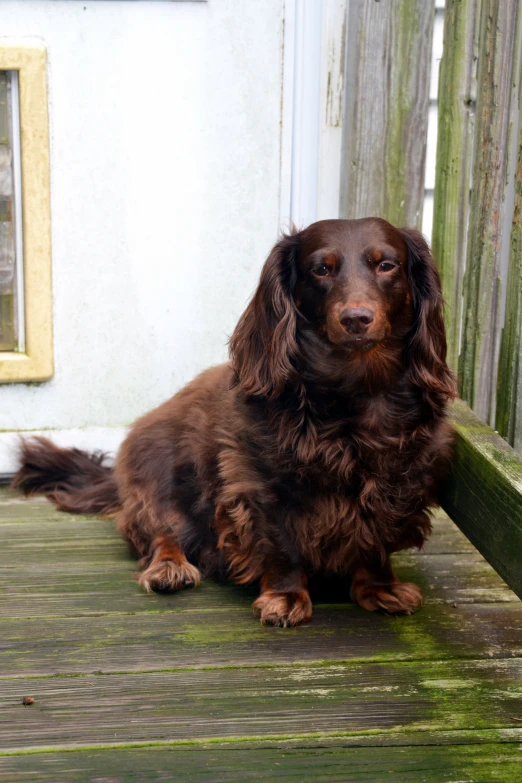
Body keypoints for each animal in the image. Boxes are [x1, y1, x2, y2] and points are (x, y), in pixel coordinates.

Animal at [13, 219, 456, 624]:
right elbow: (282, 547)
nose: (356, 318)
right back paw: (169, 567)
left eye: (387, 265)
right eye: (321, 269)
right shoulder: (258, 486)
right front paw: (286, 597)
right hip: (156, 484)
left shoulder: (400, 481)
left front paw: (379, 587)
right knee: (159, 532)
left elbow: (377, 538)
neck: (354, 394)